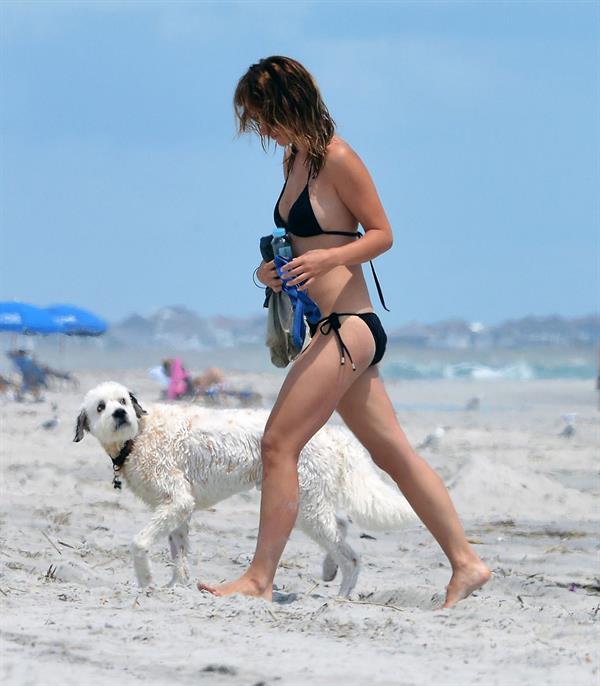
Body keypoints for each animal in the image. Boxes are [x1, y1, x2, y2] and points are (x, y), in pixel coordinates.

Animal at [74, 382, 412, 596]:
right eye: (101, 407)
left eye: (123, 401)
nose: (120, 414)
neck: (138, 435)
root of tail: (336, 434)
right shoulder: (178, 509)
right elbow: (179, 555)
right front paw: (177, 587)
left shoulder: (177, 501)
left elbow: (139, 543)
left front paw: (146, 579)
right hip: (311, 504)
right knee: (340, 526)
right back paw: (330, 570)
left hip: (307, 508)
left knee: (350, 556)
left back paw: (341, 596)